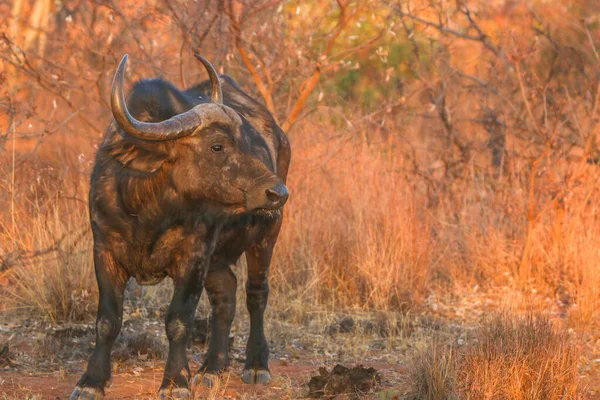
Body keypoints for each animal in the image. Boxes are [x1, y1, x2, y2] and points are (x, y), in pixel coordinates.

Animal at [70, 54, 290, 400]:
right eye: (217, 146)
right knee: (225, 295)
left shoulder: (193, 257)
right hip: (219, 257)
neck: (149, 208)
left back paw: (255, 364)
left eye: (245, 141)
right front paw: (92, 381)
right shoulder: (104, 251)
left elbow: (178, 321)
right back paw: (212, 368)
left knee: (256, 294)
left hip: (266, 233)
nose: (278, 192)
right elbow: (107, 320)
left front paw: (175, 381)